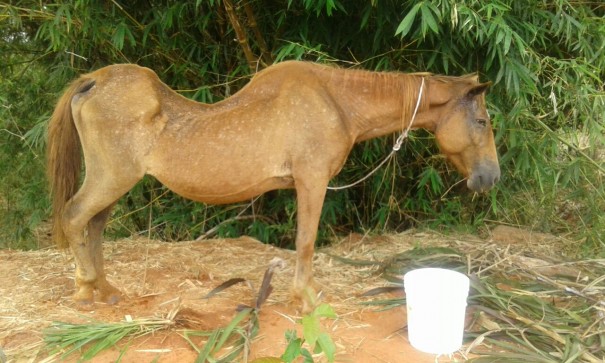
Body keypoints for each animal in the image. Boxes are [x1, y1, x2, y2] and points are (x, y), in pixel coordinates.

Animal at [48, 61, 500, 312]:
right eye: (481, 121)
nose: (491, 177)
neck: (336, 100)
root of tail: (93, 81)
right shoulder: (312, 181)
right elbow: (306, 241)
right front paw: (306, 298)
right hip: (111, 178)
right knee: (74, 218)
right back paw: (85, 290)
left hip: (114, 183)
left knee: (93, 228)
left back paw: (106, 289)